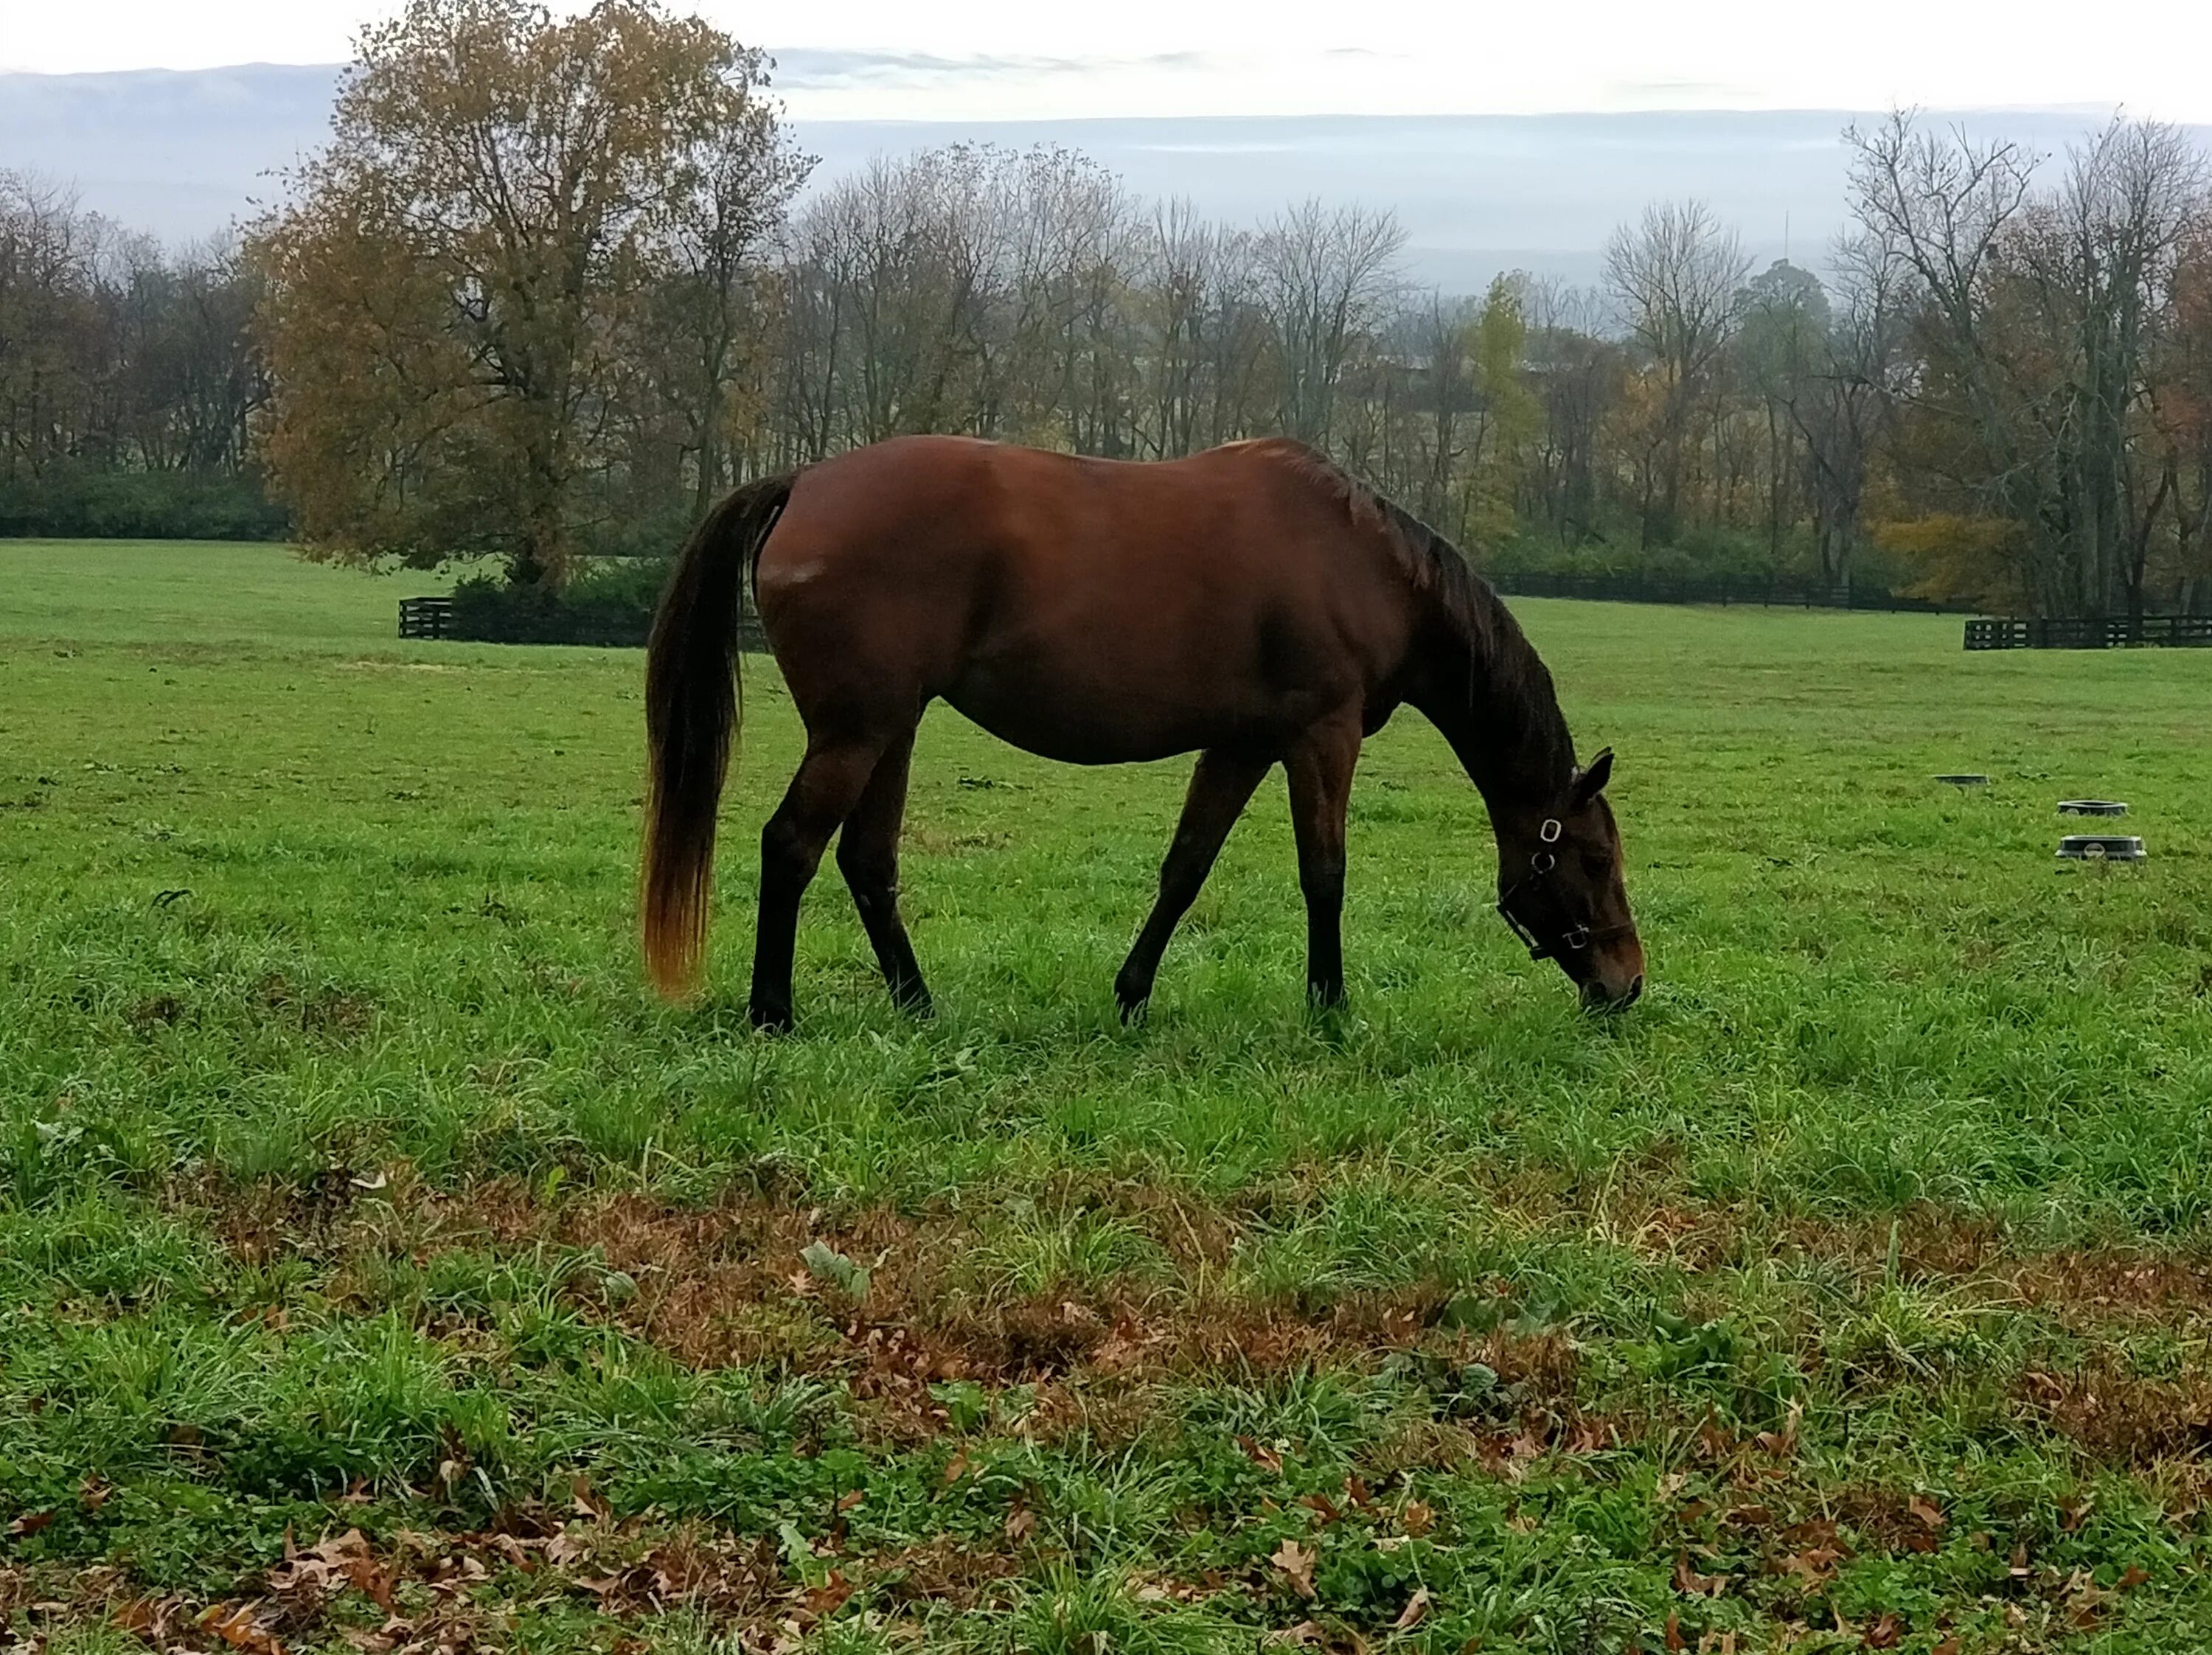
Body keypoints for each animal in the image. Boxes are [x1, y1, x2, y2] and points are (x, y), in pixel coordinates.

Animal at [641, 436, 1646, 1035]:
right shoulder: (1321, 737)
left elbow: (1186, 867)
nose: (1627, 982)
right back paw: (774, 1011)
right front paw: (1330, 1008)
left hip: (892, 727)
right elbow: (1325, 875)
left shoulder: (1243, 743)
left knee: (866, 860)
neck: (1361, 563)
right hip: (857, 730)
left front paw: (1131, 995)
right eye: (1593, 858)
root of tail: (803, 482)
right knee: (792, 844)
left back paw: (919, 1003)